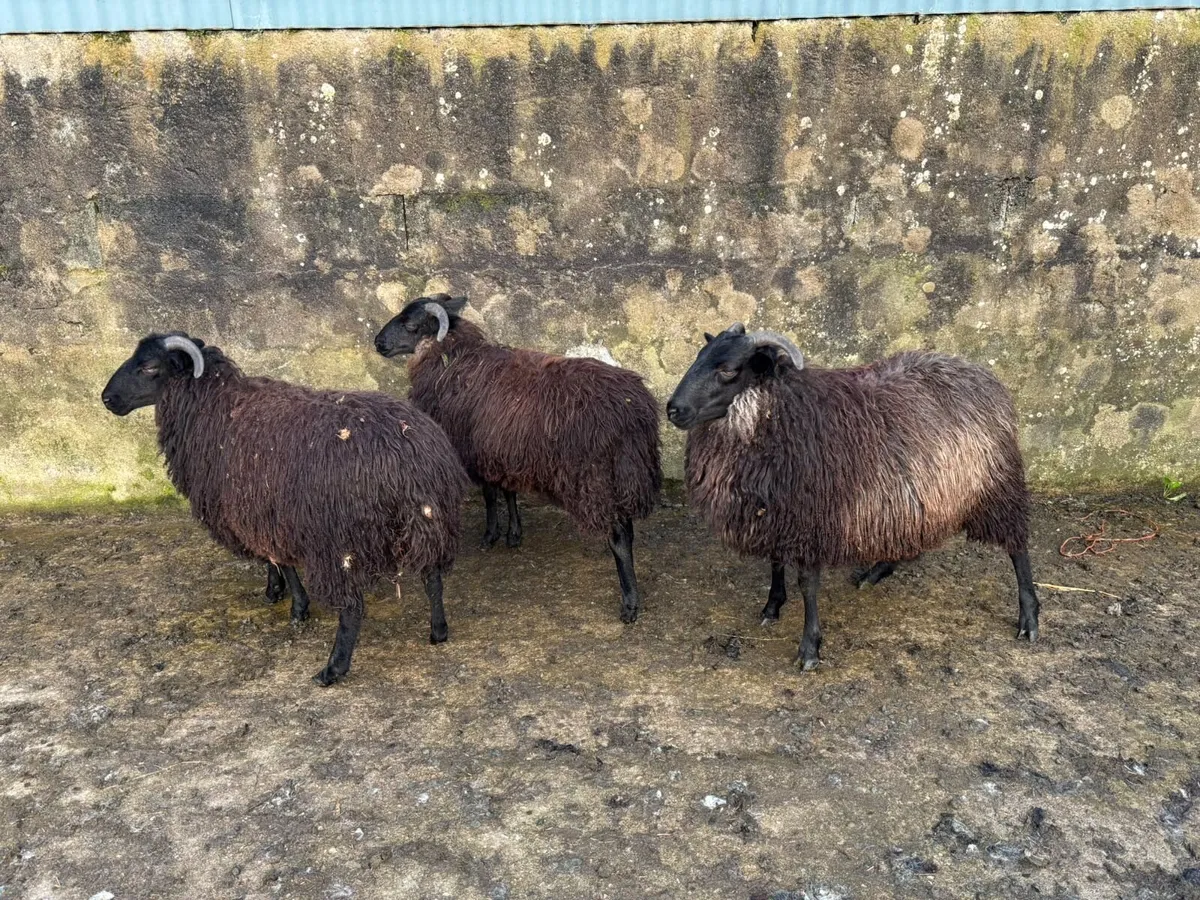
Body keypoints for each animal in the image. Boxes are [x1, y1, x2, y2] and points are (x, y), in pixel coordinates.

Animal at [101, 332, 470, 686]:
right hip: (430, 521)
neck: (216, 406)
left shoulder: (266, 514)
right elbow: (275, 560)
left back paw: (332, 669)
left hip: (342, 544)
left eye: (150, 367)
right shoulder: (267, 513)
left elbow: (282, 562)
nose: (107, 399)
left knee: (353, 608)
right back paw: (438, 631)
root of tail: (408, 460)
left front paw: (295, 605)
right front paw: (275, 590)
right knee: (433, 579)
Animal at [374, 294, 662, 624]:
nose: (378, 342)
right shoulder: (502, 451)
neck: (453, 359)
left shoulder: (475, 450)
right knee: (628, 531)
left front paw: (490, 535)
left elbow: (490, 495)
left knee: (619, 538)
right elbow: (508, 492)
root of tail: (634, 412)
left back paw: (630, 603)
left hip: (597, 479)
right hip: (626, 474)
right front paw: (514, 533)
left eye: (410, 325)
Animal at [665, 322, 1039, 670]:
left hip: (997, 484)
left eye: (728, 369)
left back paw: (1030, 616)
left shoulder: (810, 518)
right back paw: (877, 571)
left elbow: (807, 584)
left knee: (1018, 548)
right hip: (921, 491)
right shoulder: (773, 511)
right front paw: (772, 606)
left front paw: (810, 648)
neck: (776, 411)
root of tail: (981, 373)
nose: (673, 410)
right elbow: (775, 562)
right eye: (699, 357)